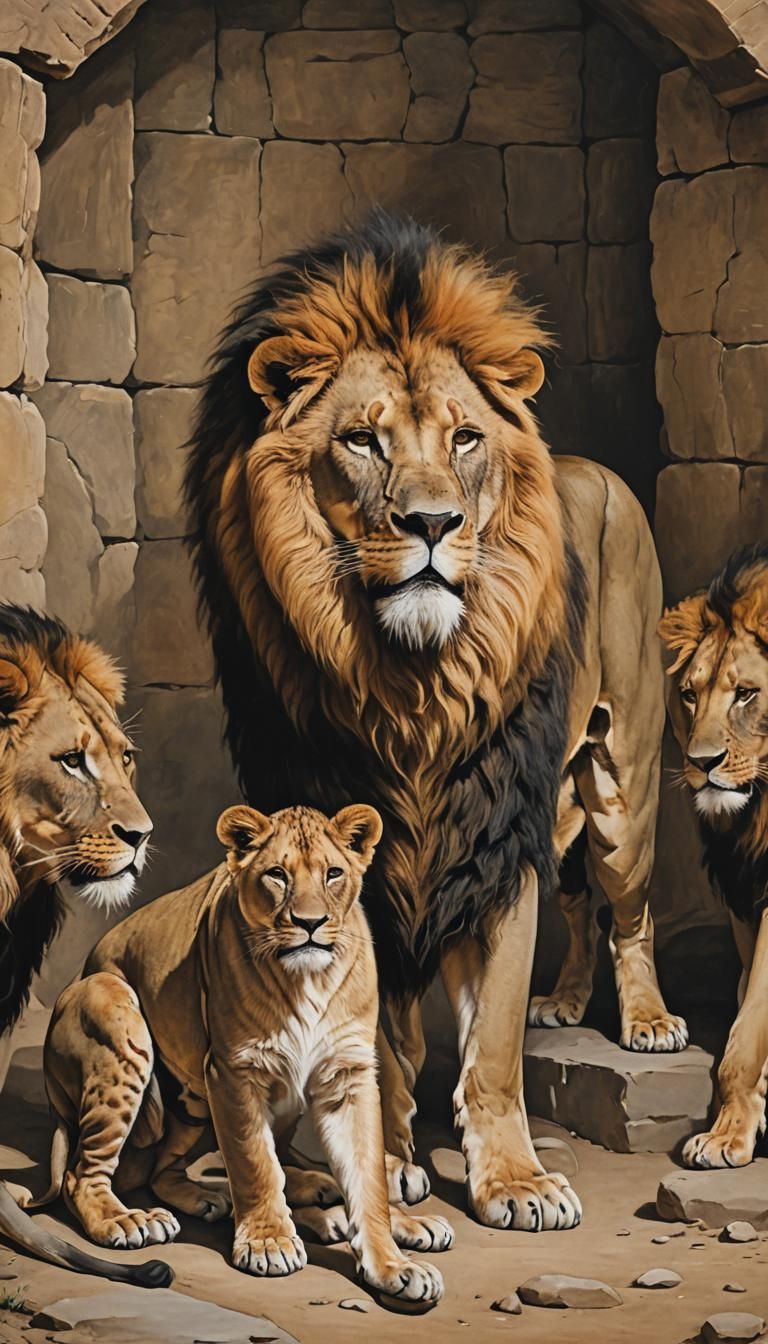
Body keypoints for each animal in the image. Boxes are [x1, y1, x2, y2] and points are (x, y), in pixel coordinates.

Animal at [39, 802, 449, 1310]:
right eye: (277, 875)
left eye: (333, 874)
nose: (310, 923)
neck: (308, 980)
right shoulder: (234, 1072)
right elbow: (254, 1162)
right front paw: (269, 1243)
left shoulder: (348, 1076)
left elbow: (366, 1176)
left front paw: (393, 1264)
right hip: (116, 1011)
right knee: (86, 1174)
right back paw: (130, 1220)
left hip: (204, 1103)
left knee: (164, 1169)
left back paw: (336, 1199)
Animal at [185, 212, 679, 1233]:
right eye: (361, 442)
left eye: (465, 439)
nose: (433, 523)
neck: (411, 692)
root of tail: (596, 470)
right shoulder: (354, 858)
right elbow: (383, 1035)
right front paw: (390, 1161)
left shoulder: (490, 842)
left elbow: (490, 1039)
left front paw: (517, 1183)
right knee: (581, 901)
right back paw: (567, 1002)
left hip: (625, 783)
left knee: (625, 903)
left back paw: (647, 1021)